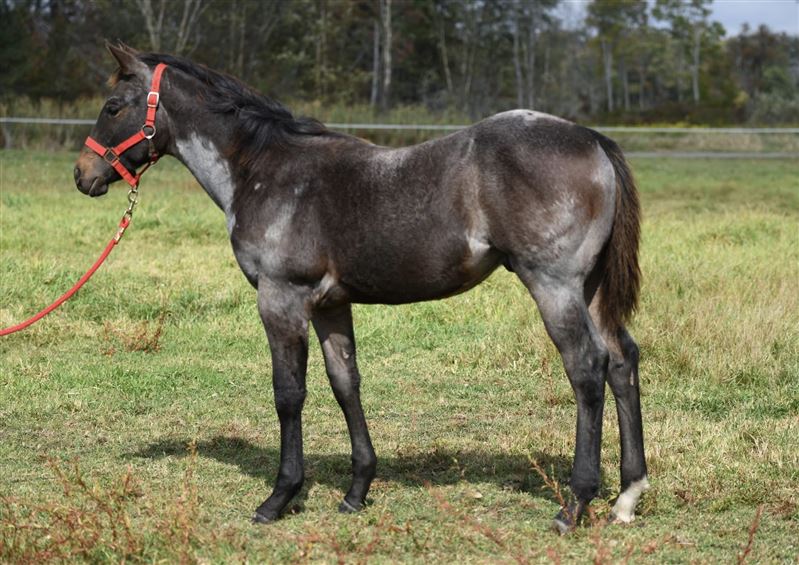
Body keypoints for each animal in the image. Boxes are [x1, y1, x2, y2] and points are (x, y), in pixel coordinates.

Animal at [73, 44, 648, 533]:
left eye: (113, 106)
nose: (83, 174)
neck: (263, 170)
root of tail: (593, 139)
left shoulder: (281, 299)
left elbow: (289, 393)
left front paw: (279, 497)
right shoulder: (331, 305)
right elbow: (345, 384)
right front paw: (356, 492)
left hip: (553, 285)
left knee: (587, 368)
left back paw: (574, 504)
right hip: (591, 289)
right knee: (622, 361)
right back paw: (626, 496)